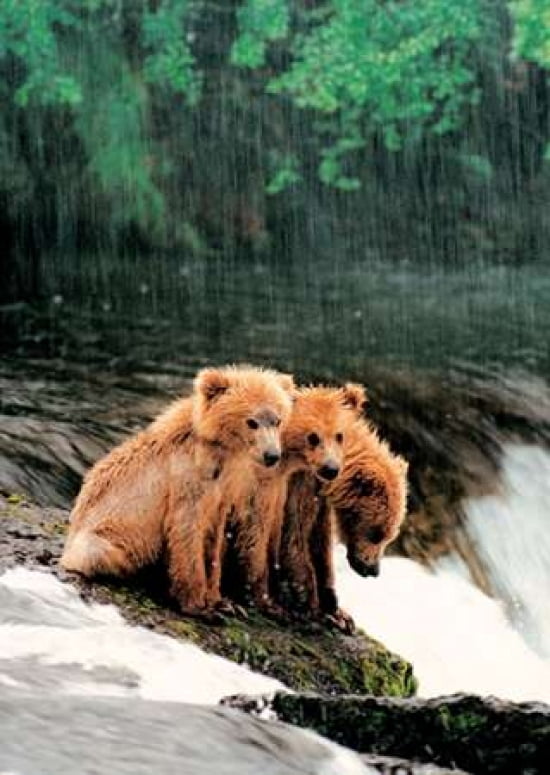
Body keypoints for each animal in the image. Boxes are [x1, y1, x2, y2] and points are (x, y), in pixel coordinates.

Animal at [61, 365, 294, 614]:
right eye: (252, 421)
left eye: (277, 420)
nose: (272, 455)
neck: (218, 455)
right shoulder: (187, 479)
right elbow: (187, 531)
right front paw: (198, 604)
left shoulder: (222, 490)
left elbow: (214, 538)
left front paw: (221, 601)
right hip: (101, 536)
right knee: (99, 553)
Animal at [278, 417, 408, 631]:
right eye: (376, 534)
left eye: (389, 536)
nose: (373, 570)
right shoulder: (298, 478)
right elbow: (294, 530)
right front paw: (312, 606)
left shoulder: (319, 497)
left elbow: (319, 539)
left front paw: (337, 611)